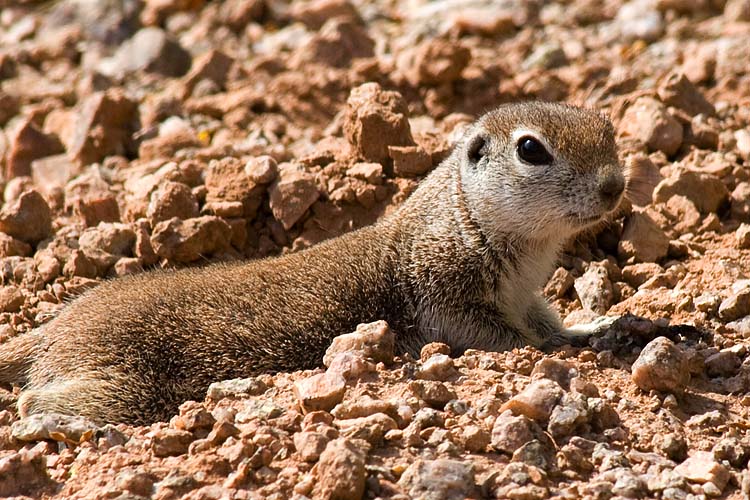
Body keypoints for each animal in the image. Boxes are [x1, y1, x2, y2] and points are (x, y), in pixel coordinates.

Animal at [0, 103, 628, 424]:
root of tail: (56, 327)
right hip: (127, 384)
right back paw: (45, 419)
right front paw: (564, 350)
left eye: (607, 128)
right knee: (37, 398)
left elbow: (548, 320)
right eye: (531, 149)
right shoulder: (446, 293)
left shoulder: (527, 295)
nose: (615, 186)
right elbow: (506, 337)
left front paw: (591, 326)